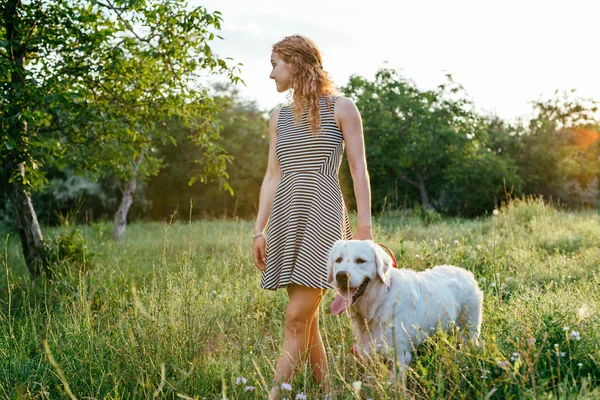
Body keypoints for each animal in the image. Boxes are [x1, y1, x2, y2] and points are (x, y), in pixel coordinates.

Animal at [328, 239, 482, 374]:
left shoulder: (400, 356)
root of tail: (466, 273)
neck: (379, 301)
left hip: (469, 330)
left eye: (361, 260)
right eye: (338, 260)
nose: (341, 276)